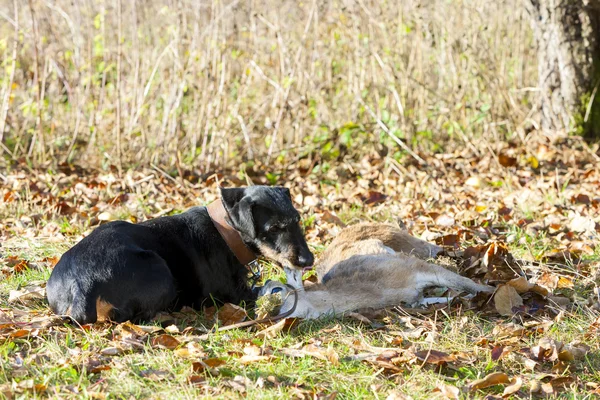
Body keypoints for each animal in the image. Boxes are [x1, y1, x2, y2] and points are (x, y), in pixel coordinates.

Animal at [47, 188, 314, 324]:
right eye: (274, 228)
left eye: (298, 220)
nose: (308, 261)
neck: (225, 231)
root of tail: (83, 284)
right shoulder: (235, 295)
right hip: (159, 269)